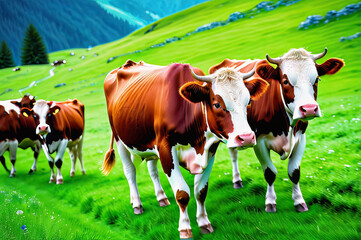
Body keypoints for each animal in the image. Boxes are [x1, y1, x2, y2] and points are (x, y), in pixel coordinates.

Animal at [101, 60, 268, 238]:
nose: (246, 137)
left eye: (248, 101)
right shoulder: (165, 148)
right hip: (119, 139)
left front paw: (204, 223)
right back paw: (137, 204)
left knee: (152, 169)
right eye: (217, 104)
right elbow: (182, 193)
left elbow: (201, 191)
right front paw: (185, 229)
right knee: (130, 172)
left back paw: (161, 198)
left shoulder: (210, 149)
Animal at [210, 48, 344, 212]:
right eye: (285, 81)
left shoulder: (301, 137)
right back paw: (237, 181)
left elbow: (294, 172)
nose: (309, 109)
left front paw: (299, 201)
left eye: (317, 79)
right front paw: (270, 202)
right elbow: (270, 173)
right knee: (233, 155)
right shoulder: (259, 141)